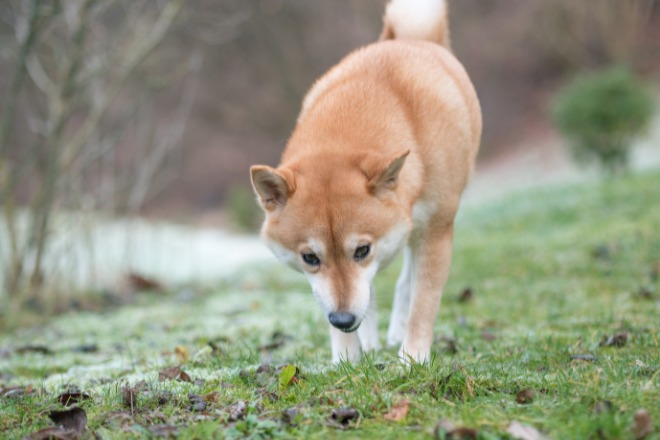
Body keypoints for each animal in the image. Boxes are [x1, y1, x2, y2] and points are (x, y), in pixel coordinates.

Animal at [250, 0, 482, 364]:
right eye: (310, 258)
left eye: (362, 250)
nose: (343, 319)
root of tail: (411, 39)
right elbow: (352, 302)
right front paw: (346, 360)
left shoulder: (437, 231)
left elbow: (423, 302)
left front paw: (413, 359)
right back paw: (371, 343)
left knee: (406, 283)